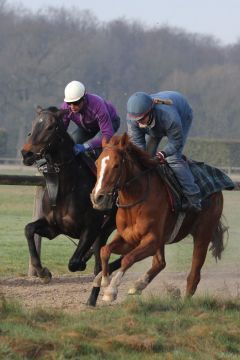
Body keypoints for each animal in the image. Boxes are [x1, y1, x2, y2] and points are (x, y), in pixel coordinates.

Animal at [21, 107, 121, 306]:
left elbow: (74, 262)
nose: (26, 154)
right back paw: (91, 300)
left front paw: (81, 261)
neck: (67, 187)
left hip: (109, 224)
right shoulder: (53, 228)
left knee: (99, 261)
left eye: (51, 127)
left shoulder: (90, 228)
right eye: (34, 124)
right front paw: (43, 273)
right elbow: (29, 229)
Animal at [90, 134, 227, 302]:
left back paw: (185, 300)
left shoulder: (152, 240)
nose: (98, 198)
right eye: (97, 163)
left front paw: (111, 290)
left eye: (116, 165)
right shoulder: (129, 238)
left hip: (203, 233)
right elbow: (105, 250)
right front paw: (103, 279)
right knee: (160, 263)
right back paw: (139, 284)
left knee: (194, 274)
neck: (135, 203)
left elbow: (127, 259)